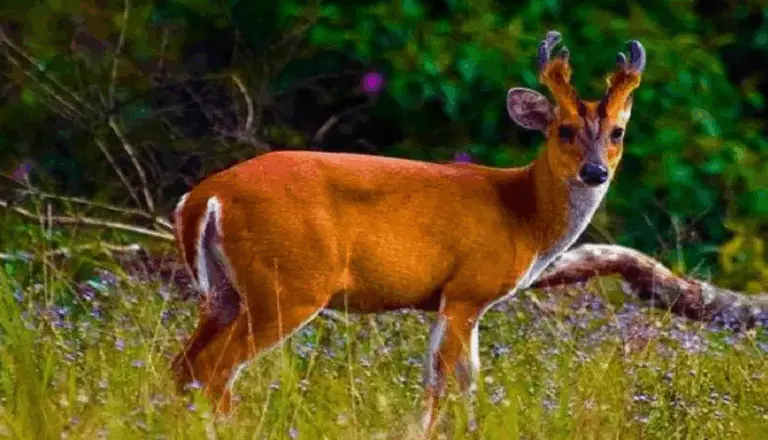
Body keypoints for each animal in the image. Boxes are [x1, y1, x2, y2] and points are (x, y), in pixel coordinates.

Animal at [170, 30, 646, 436]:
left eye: (617, 132)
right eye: (564, 130)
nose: (595, 172)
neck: (523, 215)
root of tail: (204, 196)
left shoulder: (460, 299)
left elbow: (466, 380)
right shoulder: (467, 290)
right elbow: (442, 378)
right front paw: (425, 431)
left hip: (224, 290)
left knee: (185, 365)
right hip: (288, 283)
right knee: (215, 368)